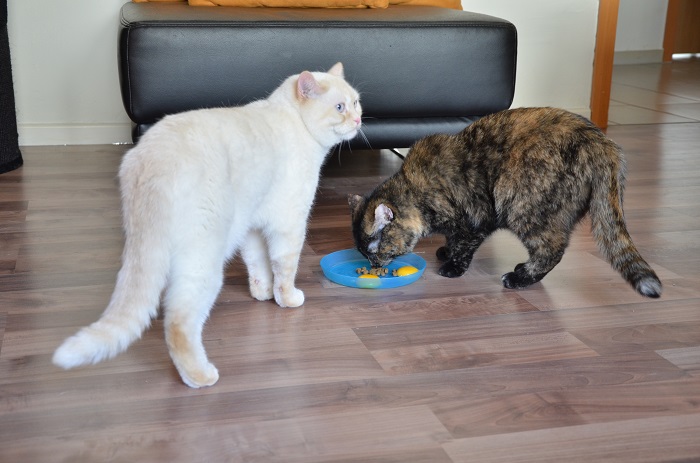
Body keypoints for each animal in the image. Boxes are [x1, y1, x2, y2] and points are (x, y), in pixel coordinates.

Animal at [53, 62, 360, 388]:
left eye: (356, 103)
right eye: (339, 107)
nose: (357, 119)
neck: (293, 121)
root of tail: (153, 158)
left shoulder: (251, 227)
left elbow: (259, 266)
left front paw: (264, 295)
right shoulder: (289, 224)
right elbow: (284, 269)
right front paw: (288, 299)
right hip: (204, 262)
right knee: (178, 323)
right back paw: (200, 377)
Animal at [350, 107, 660, 300]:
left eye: (374, 250)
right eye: (364, 253)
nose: (374, 265)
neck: (416, 189)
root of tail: (602, 143)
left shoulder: (476, 217)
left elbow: (464, 244)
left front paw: (452, 267)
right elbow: (453, 239)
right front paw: (445, 251)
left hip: (523, 205)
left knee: (553, 249)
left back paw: (518, 278)